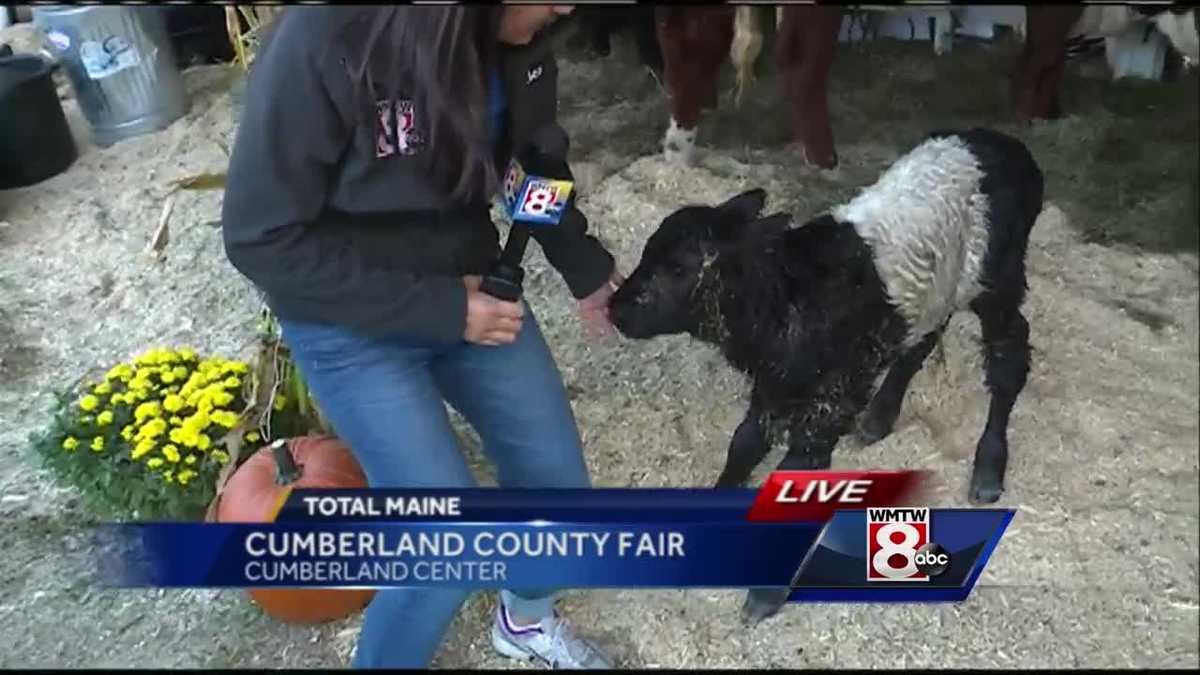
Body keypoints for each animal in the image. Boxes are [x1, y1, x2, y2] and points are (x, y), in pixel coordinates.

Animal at [609, 126, 1041, 619]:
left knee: (1008, 355)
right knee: (924, 338)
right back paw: (880, 416)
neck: (784, 297)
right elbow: (743, 444)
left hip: (998, 278)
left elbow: (795, 473)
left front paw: (765, 595)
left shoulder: (827, 401)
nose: (614, 309)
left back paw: (989, 465)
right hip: (939, 290)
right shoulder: (776, 384)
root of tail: (1009, 147)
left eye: (679, 268)